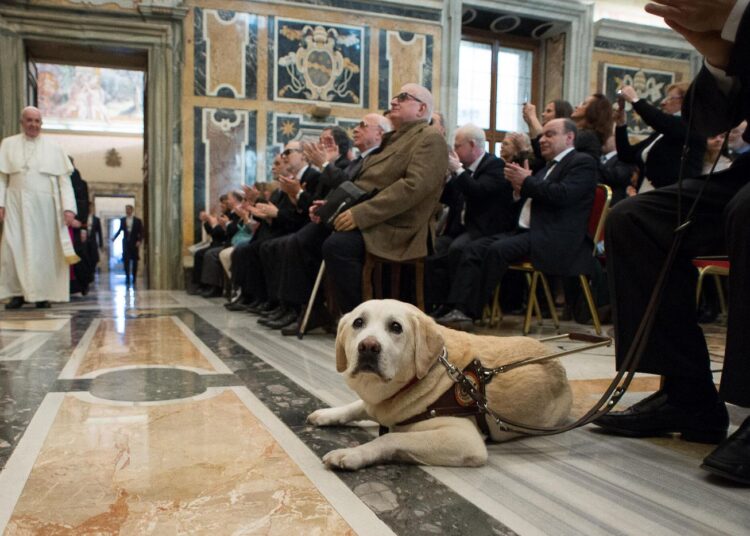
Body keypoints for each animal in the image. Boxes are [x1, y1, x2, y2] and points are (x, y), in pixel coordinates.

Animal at [308, 300, 572, 472]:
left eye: (396, 327)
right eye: (358, 323)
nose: (368, 347)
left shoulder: (464, 439)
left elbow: (390, 438)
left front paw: (352, 454)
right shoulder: (378, 405)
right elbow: (357, 405)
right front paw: (327, 414)